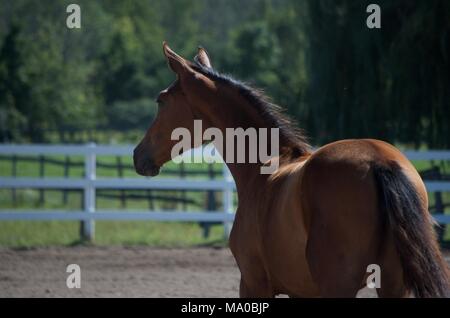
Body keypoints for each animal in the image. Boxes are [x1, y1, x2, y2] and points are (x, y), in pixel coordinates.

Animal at [134, 42, 450, 298]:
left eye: (161, 100)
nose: (138, 155)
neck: (263, 169)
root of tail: (379, 162)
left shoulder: (253, 283)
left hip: (339, 286)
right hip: (393, 285)